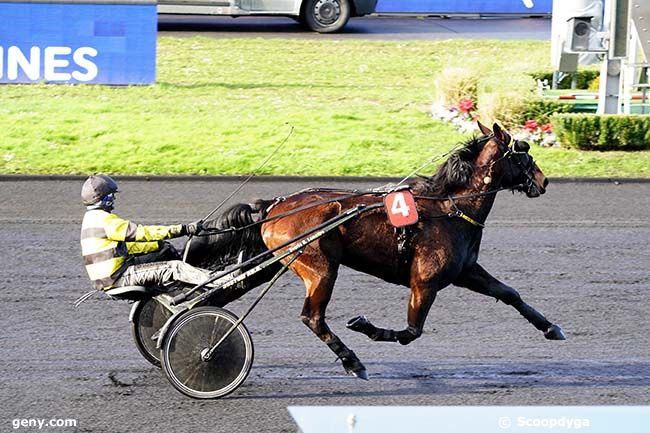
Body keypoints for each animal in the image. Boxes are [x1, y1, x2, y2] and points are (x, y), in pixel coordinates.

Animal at [191, 120, 560, 378]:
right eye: (524, 151)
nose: (544, 181)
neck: (450, 208)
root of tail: (274, 206)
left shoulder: (465, 271)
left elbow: (509, 293)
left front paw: (550, 327)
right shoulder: (424, 282)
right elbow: (411, 332)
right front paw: (364, 326)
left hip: (271, 264)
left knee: (217, 295)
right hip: (320, 268)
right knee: (312, 317)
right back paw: (352, 361)